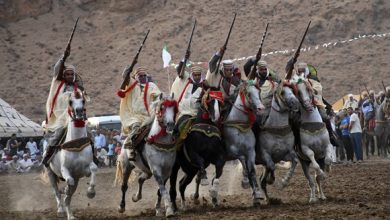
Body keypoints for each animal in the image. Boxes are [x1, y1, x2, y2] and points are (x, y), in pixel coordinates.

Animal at [46, 90, 97, 219]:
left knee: (68, 198)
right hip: (50, 173)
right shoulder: (65, 170)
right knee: (56, 192)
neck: (76, 145)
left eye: (83, 100)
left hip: (77, 179)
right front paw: (65, 190)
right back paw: (61, 210)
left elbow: (93, 169)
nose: (79, 112)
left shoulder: (83, 170)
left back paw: (71, 215)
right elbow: (69, 181)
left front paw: (90, 192)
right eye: (70, 101)